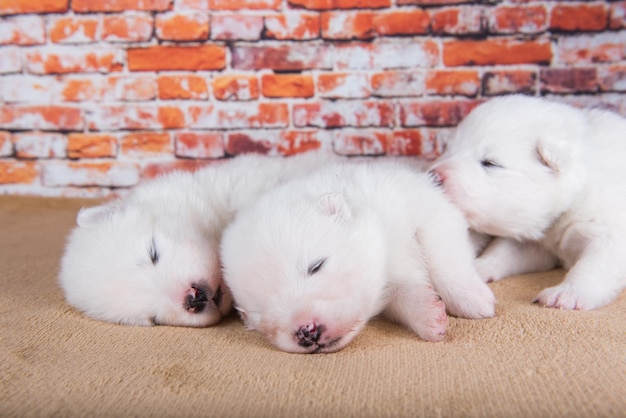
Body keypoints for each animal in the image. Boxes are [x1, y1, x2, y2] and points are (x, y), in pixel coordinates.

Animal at [219, 162, 492, 354]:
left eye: (315, 266)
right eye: (258, 313)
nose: (306, 331)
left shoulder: (430, 212)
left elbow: (444, 257)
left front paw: (472, 299)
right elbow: (403, 296)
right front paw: (430, 316)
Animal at [432, 94, 624, 310]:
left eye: (490, 163)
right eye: (448, 150)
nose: (433, 175)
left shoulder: (608, 232)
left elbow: (594, 266)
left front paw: (566, 294)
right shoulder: (534, 243)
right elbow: (503, 252)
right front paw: (478, 267)